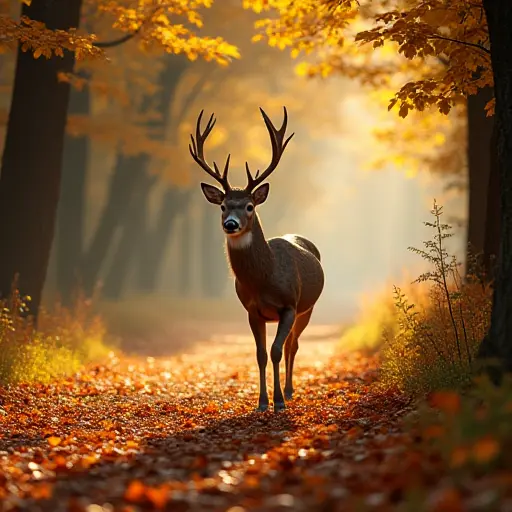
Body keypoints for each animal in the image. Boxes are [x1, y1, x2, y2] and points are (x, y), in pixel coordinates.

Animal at [188, 108, 324, 412]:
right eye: (223, 205)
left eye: (249, 206)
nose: (230, 224)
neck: (265, 279)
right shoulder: (252, 310)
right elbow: (261, 353)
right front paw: (262, 402)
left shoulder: (289, 305)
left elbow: (275, 351)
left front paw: (279, 402)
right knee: (288, 346)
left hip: (307, 308)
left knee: (292, 345)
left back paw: (290, 390)